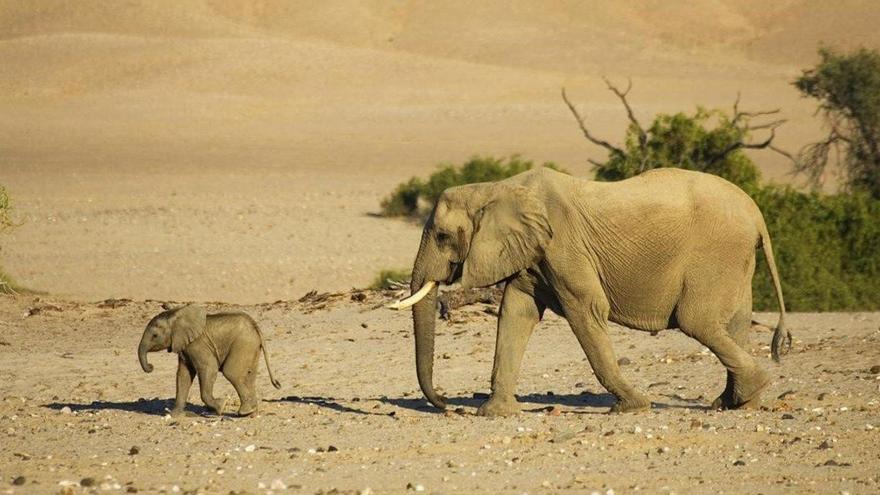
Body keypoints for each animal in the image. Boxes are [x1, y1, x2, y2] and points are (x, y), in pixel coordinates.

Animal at [139, 304, 280, 416]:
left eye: (155, 336)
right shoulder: (185, 346)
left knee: (232, 373)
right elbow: (183, 375)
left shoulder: (198, 345)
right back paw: (252, 413)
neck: (176, 315)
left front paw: (221, 406)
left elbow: (208, 369)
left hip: (243, 344)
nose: (151, 366)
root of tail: (256, 327)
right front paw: (174, 415)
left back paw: (244, 412)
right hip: (251, 347)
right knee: (249, 376)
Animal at [388, 169, 788, 416]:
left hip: (716, 253)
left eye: (442, 236)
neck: (496, 187)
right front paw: (495, 413)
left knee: (698, 322)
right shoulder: (532, 253)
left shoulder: (564, 246)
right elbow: (516, 312)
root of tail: (757, 212)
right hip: (736, 259)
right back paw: (737, 403)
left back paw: (748, 391)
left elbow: (587, 309)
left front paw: (632, 406)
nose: (444, 403)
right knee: (733, 325)